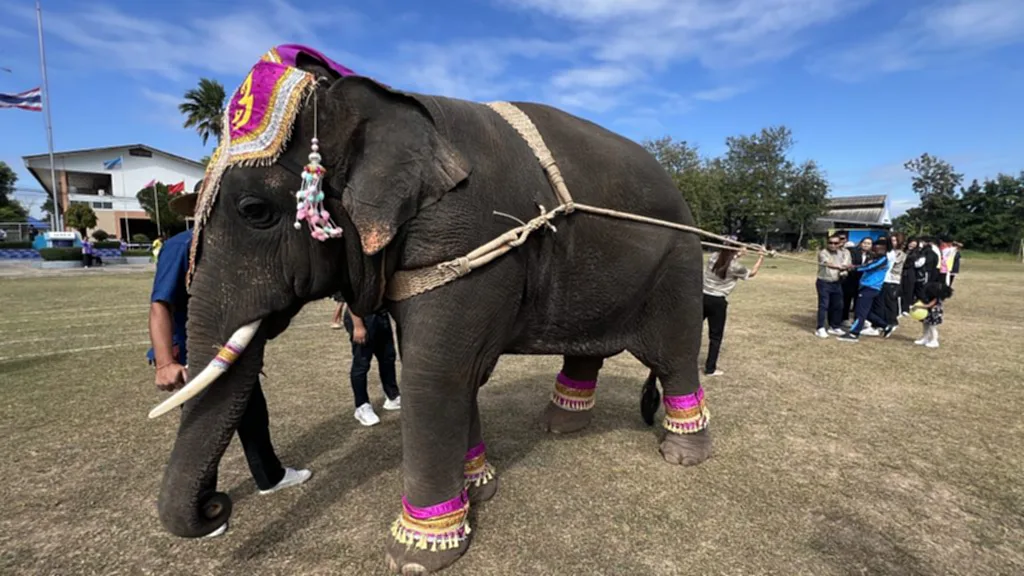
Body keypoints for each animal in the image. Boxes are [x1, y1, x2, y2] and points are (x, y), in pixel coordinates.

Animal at [152, 52, 712, 575]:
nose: (216, 506)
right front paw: (477, 493)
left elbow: (433, 375)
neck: (382, 99)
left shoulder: (463, 234)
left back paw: (682, 453)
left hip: (680, 264)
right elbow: (456, 375)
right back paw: (560, 426)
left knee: (675, 355)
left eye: (254, 211)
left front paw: (417, 554)